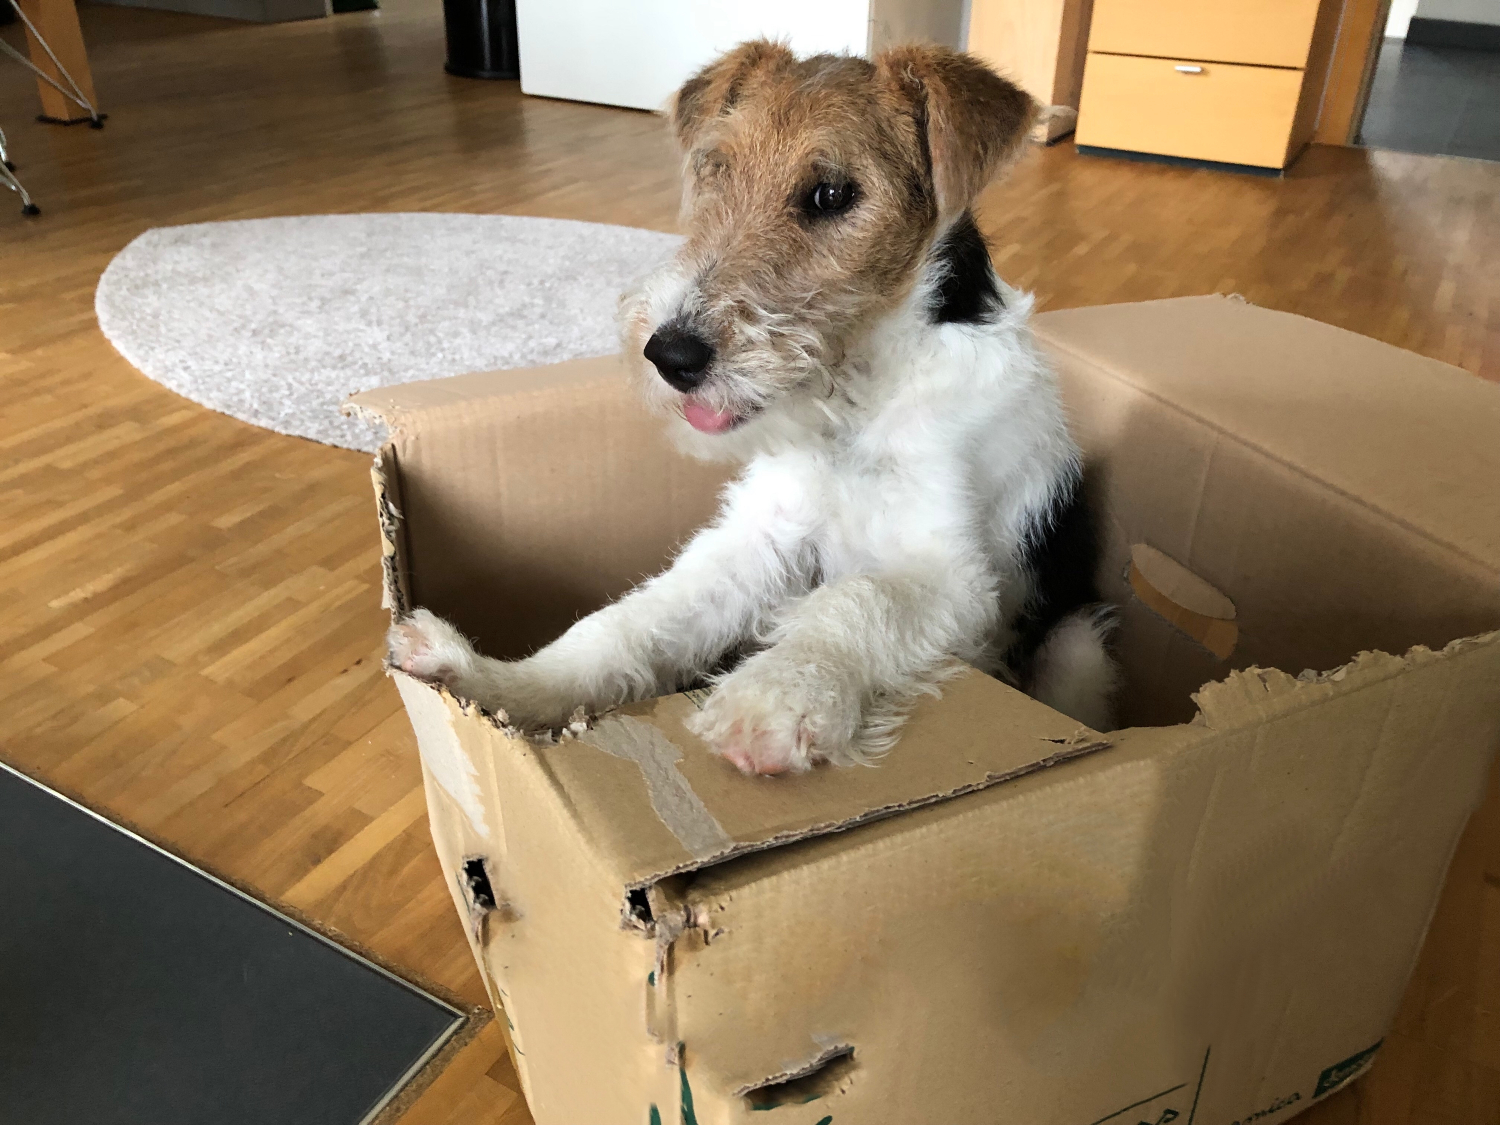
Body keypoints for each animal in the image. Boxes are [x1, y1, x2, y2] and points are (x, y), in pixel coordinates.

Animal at [387, 41, 1116, 774]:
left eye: (832, 194)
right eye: (717, 169)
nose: (670, 355)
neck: (852, 403)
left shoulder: (951, 571)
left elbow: (857, 597)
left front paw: (772, 698)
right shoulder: (763, 534)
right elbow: (625, 623)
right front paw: (490, 679)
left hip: (1079, 636)